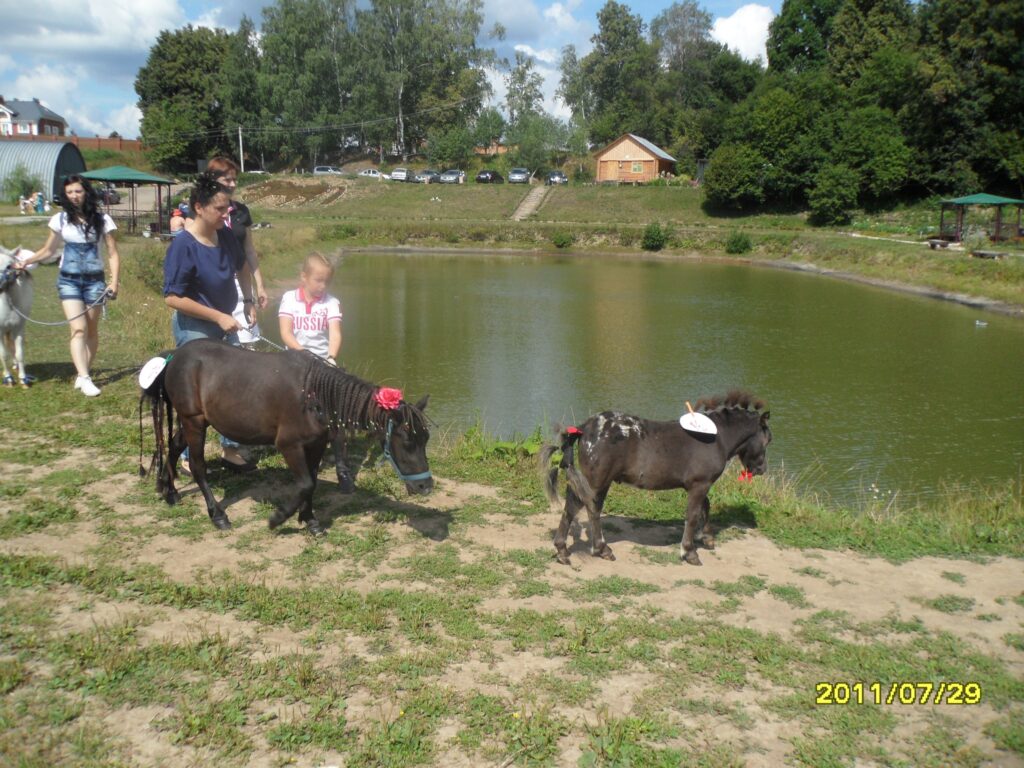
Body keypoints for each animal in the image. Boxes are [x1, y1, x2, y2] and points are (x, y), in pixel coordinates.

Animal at [140, 342, 428, 536]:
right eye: (406, 440)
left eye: (425, 439)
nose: (426, 486)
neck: (313, 395)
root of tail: (175, 356)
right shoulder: (289, 446)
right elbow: (305, 484)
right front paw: (278, 518)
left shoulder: (316, 444)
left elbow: (311, 482)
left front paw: (310, 520)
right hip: (194, 421)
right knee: (198, 467)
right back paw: (218, 515)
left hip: (194, 421)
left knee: (174, 446)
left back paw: (168, 491)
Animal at [544, 391, 770, 565]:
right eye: (768, 440)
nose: (761, 469)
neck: (715, 437)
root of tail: (584, 428)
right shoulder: (700, 484)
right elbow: (693, 515)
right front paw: (689, 552)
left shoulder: (698, 485)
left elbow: (705, 506)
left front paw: (707, 537)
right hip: (597, 482)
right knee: (589, 509)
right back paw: (601, 549)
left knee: (574, 508)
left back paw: (563, 551)